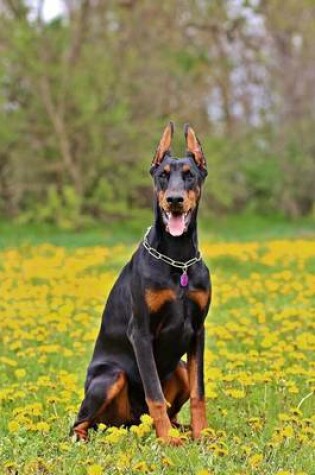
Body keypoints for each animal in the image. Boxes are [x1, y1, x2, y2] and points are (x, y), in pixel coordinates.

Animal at [73, 122, 212, 446]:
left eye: (189, 174)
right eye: (163, 175)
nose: (175, 200)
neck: (178, 259)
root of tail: (130, 423)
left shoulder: (198, 330)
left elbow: (199, 393)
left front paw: (203, 435)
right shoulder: (141, 332)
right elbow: (155, 394)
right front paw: (167, 441)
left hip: (180, 369)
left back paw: (181, 429)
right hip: (110, 377)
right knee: (79, 422)